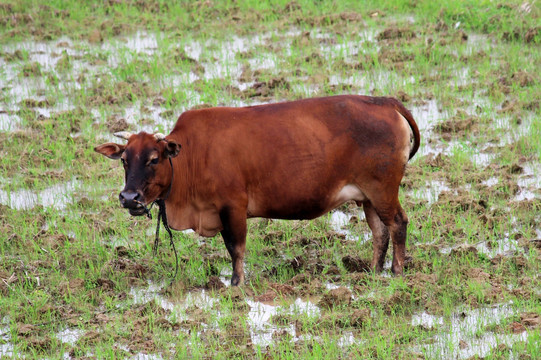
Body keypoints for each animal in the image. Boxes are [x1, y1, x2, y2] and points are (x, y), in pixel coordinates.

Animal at [95, 94, 420, 286]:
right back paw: (374, 271)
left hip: (383, 190)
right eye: (124, 160)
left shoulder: (233, 207)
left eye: (154, 159)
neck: (193, 155)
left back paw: (396, 273)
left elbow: (236, 248)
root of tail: (382, 101)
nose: (129, 198)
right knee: (380, 232)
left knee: (398, 224)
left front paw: (236, 285)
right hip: (368, 197)